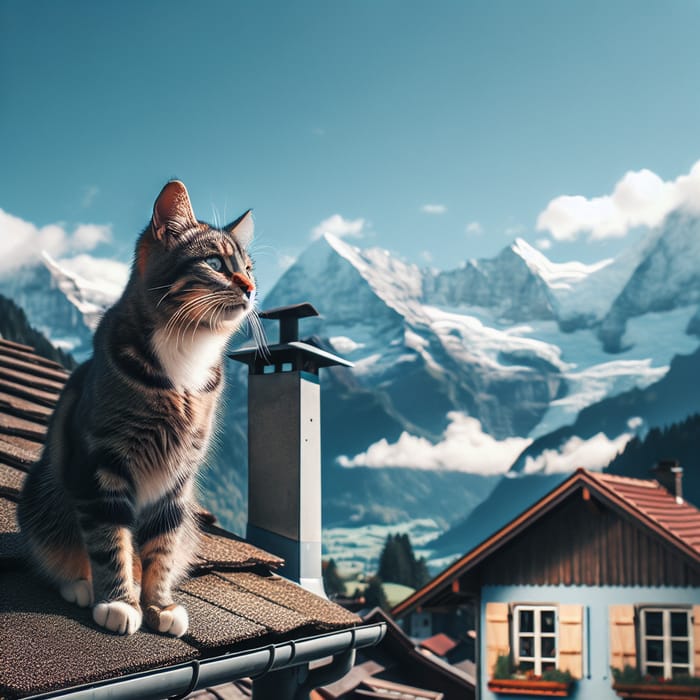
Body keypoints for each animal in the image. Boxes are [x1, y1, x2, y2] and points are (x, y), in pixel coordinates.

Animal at [17, 179, 256, 636]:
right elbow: (112, 542)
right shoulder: (102, 463)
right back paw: (81, 585)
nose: (251, 288)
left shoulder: (178, 479)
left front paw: (158, 605)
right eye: (215, 263)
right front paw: (119, 601)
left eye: (249, 268)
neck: (185, 357)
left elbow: (161, 549)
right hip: (44, 490)